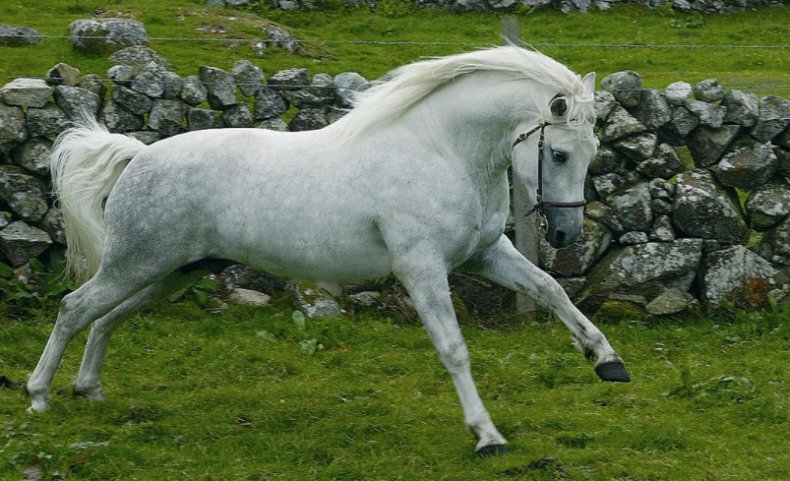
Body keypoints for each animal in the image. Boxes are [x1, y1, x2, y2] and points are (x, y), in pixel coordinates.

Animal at [26, 47, 632, 456]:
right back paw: (39, 396)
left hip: (172, 272)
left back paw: (90, 390)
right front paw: (487, 436)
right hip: (137, 263)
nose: (566, 235)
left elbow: (551, 291)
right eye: (558, 153)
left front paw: (607, 361)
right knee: (76, 308)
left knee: (109, 318)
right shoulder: (421, 267)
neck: (442, 150)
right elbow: (454, 348)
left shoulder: (485, 254)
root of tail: (138, 155)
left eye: (594, 150)